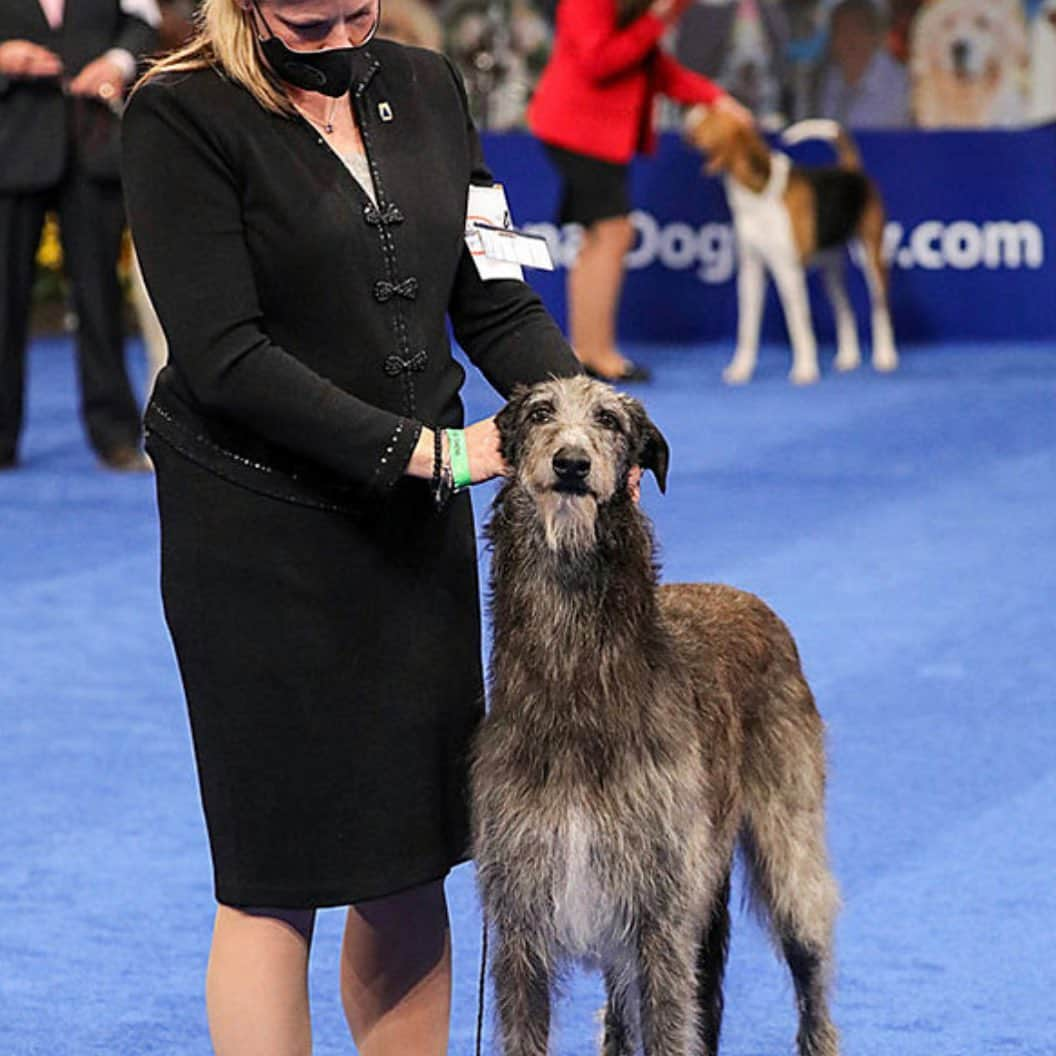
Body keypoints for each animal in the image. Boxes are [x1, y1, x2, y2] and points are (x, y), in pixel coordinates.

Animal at [680, 109, 895, 388]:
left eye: (714, 114)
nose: (690, 113)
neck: (758, 192)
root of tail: (851, 168)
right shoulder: (751, 271)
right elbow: (746, 327)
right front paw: (741, 370)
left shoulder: (788, 271)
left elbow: (798, 324)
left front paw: (805, 370)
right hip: (830, 266)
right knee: (844, 308)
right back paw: (848, 358)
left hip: (872, 256)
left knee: (880, 307)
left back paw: (885, 357)